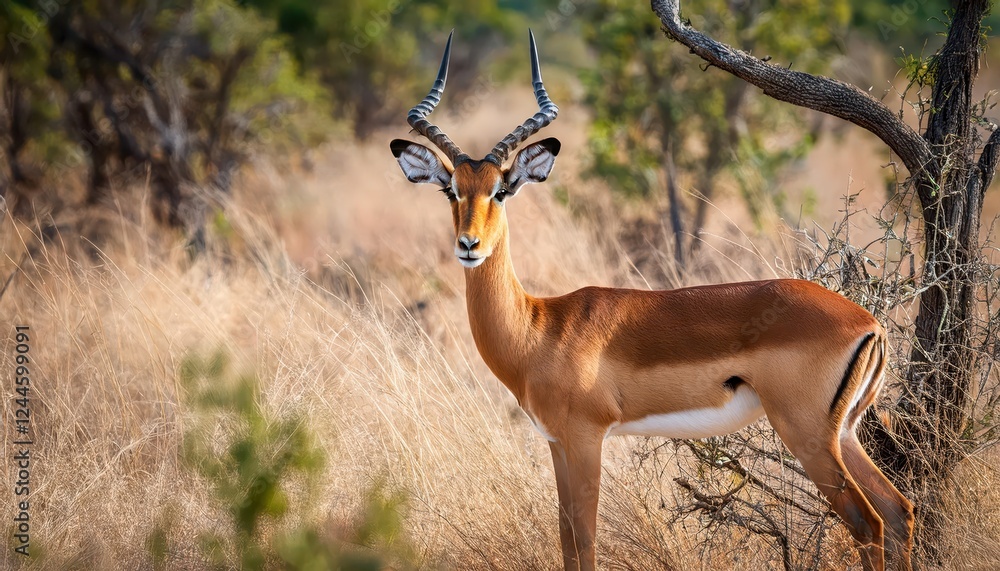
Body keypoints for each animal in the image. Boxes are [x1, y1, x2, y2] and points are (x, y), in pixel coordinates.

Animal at [389, 31, 914, 571]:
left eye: (500, 191)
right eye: (451, 190)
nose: (468, 245)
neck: (540, 328)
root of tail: (870, 323)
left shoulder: (586, 439)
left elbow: (585, 542)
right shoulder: (557, 444)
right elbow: (566, 540)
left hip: (808, 435)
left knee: (867, 523)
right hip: (845, 434)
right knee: (898, 512)